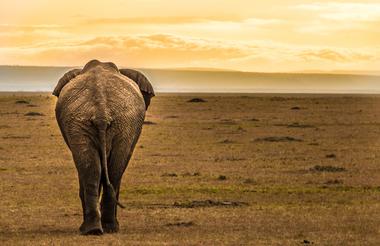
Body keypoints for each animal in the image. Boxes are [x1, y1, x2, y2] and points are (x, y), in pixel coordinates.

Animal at [52, 59, 155, 234]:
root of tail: (101, 111)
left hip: (108, 123)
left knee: (98, 169)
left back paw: (97, 229)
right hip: (108, 124)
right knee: (108, 170)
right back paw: (101, 228)